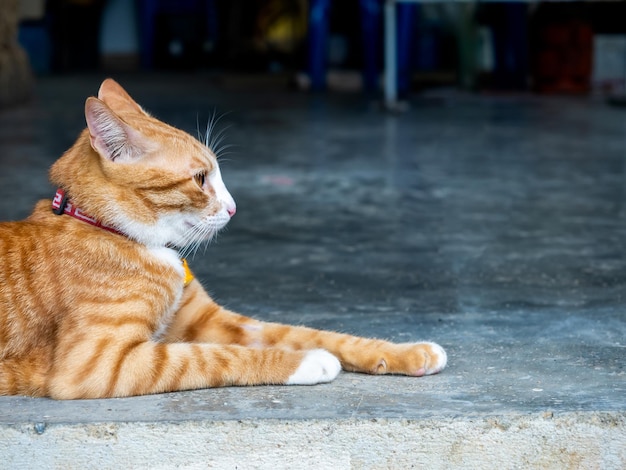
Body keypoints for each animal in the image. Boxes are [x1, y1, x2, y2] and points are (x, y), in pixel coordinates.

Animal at [2, 79, 446, 398]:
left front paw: (408, 352)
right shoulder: (95, 364)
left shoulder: (215, 320)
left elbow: (313, 334)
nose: (234, 207)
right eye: (201, 179)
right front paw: (309, 363)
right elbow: (210, 357)